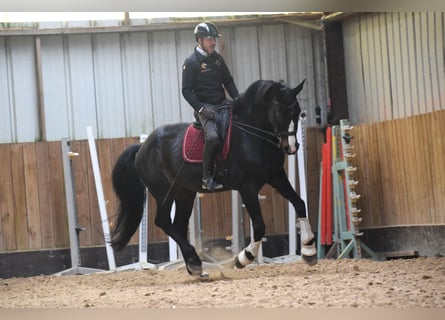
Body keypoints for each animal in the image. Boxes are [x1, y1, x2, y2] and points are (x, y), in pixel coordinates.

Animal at [110, 79, 316, 276]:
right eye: (280, 112)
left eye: (297, 112)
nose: (291, 147)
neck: (250, 133)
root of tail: (142, 149)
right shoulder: (247, 187)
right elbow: (259, 225)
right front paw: (243, 257)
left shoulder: (275, 176)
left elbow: (299, 203)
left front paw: (309, 250)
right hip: (163, 192)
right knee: (163, 222)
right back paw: (195, 262)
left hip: (184, 193)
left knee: (177, 226)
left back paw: (195, 266)